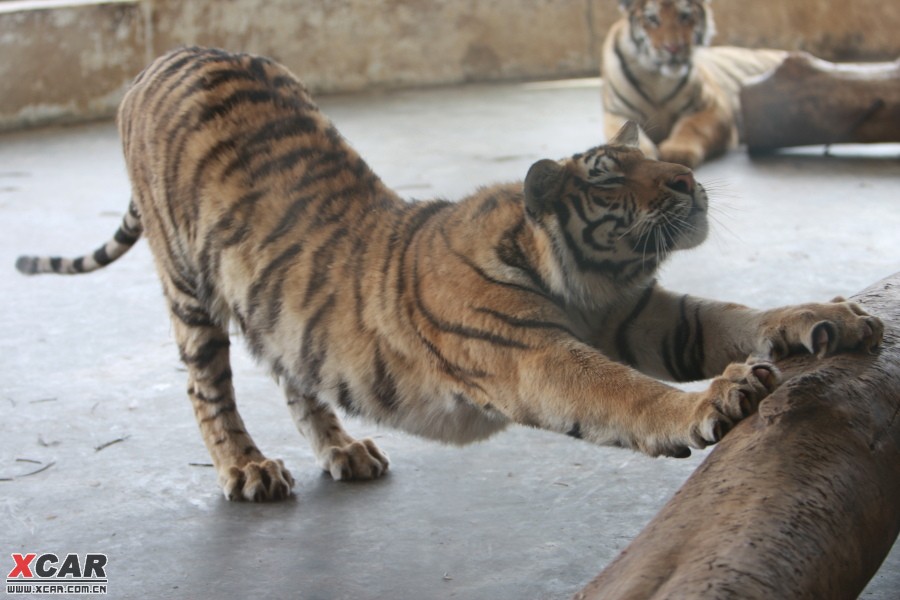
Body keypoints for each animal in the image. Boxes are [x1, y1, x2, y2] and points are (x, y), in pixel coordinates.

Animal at [15, 48, 884, 502]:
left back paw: (344, 452)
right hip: (189, 288)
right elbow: (622, 391)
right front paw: (715, 400)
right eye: (610, 177)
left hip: (275, 308)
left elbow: (736, 314)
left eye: (646, 159)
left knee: (295, 372)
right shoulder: (533, 356)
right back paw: (248, 469)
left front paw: (831, 315)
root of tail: (163, 57)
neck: (588, 281)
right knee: (208, 389)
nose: (688, 181)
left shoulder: (648, 314)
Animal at [604, 0, 788, 168]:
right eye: (652, 19)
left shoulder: (712, 107)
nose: (673, 48)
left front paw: (677, 151)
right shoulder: (617, 113)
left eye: (684, 16)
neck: (657, 78)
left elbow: (691, 126)